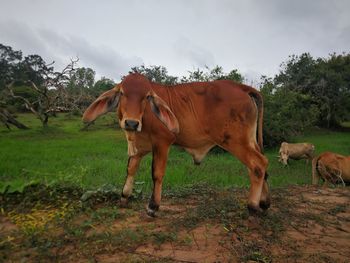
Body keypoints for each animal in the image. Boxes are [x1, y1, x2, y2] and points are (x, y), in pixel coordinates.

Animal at [83, 73, 270, 218]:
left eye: (147, 96)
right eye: (122, 93)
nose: (131, 123)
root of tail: (241, 87)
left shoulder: (162, 142)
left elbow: (157, 173)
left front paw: (153, 206)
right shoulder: (140, 145)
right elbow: (130, 169)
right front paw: (124, 196)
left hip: (235, 141)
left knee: (258, 165)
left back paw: (253, 205)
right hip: (249, 140)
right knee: (260, 167)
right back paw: (264, 202)